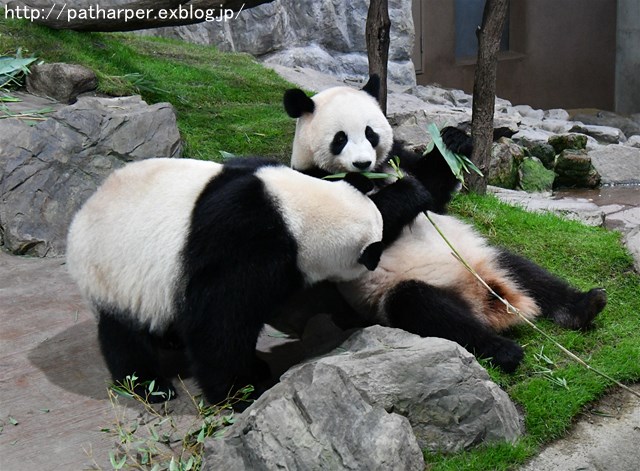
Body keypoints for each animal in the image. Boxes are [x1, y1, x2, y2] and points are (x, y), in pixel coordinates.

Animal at [67, 157, 430, 404]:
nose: (376, 263)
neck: (292, 211)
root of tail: (80, 216)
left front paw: (409, 190)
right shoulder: (246, 245)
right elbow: (219, 320)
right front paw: (242, 391)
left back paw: (169, 343)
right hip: (113, 270)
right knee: (123, 333)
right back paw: (148, 385)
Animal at [282, 77, 608, 372]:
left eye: (370, 133)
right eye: (340, 138)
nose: (362, 163)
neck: (373, 176)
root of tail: (484, 301)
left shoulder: (397, 157)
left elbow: (433, 192)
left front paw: (452, 140)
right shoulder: (314, 186)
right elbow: (360, 243)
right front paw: (408, 192)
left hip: (481, 256)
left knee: (528, 273)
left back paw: (585, 305)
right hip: (390, 296)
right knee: (429, 310)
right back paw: (503, 350)